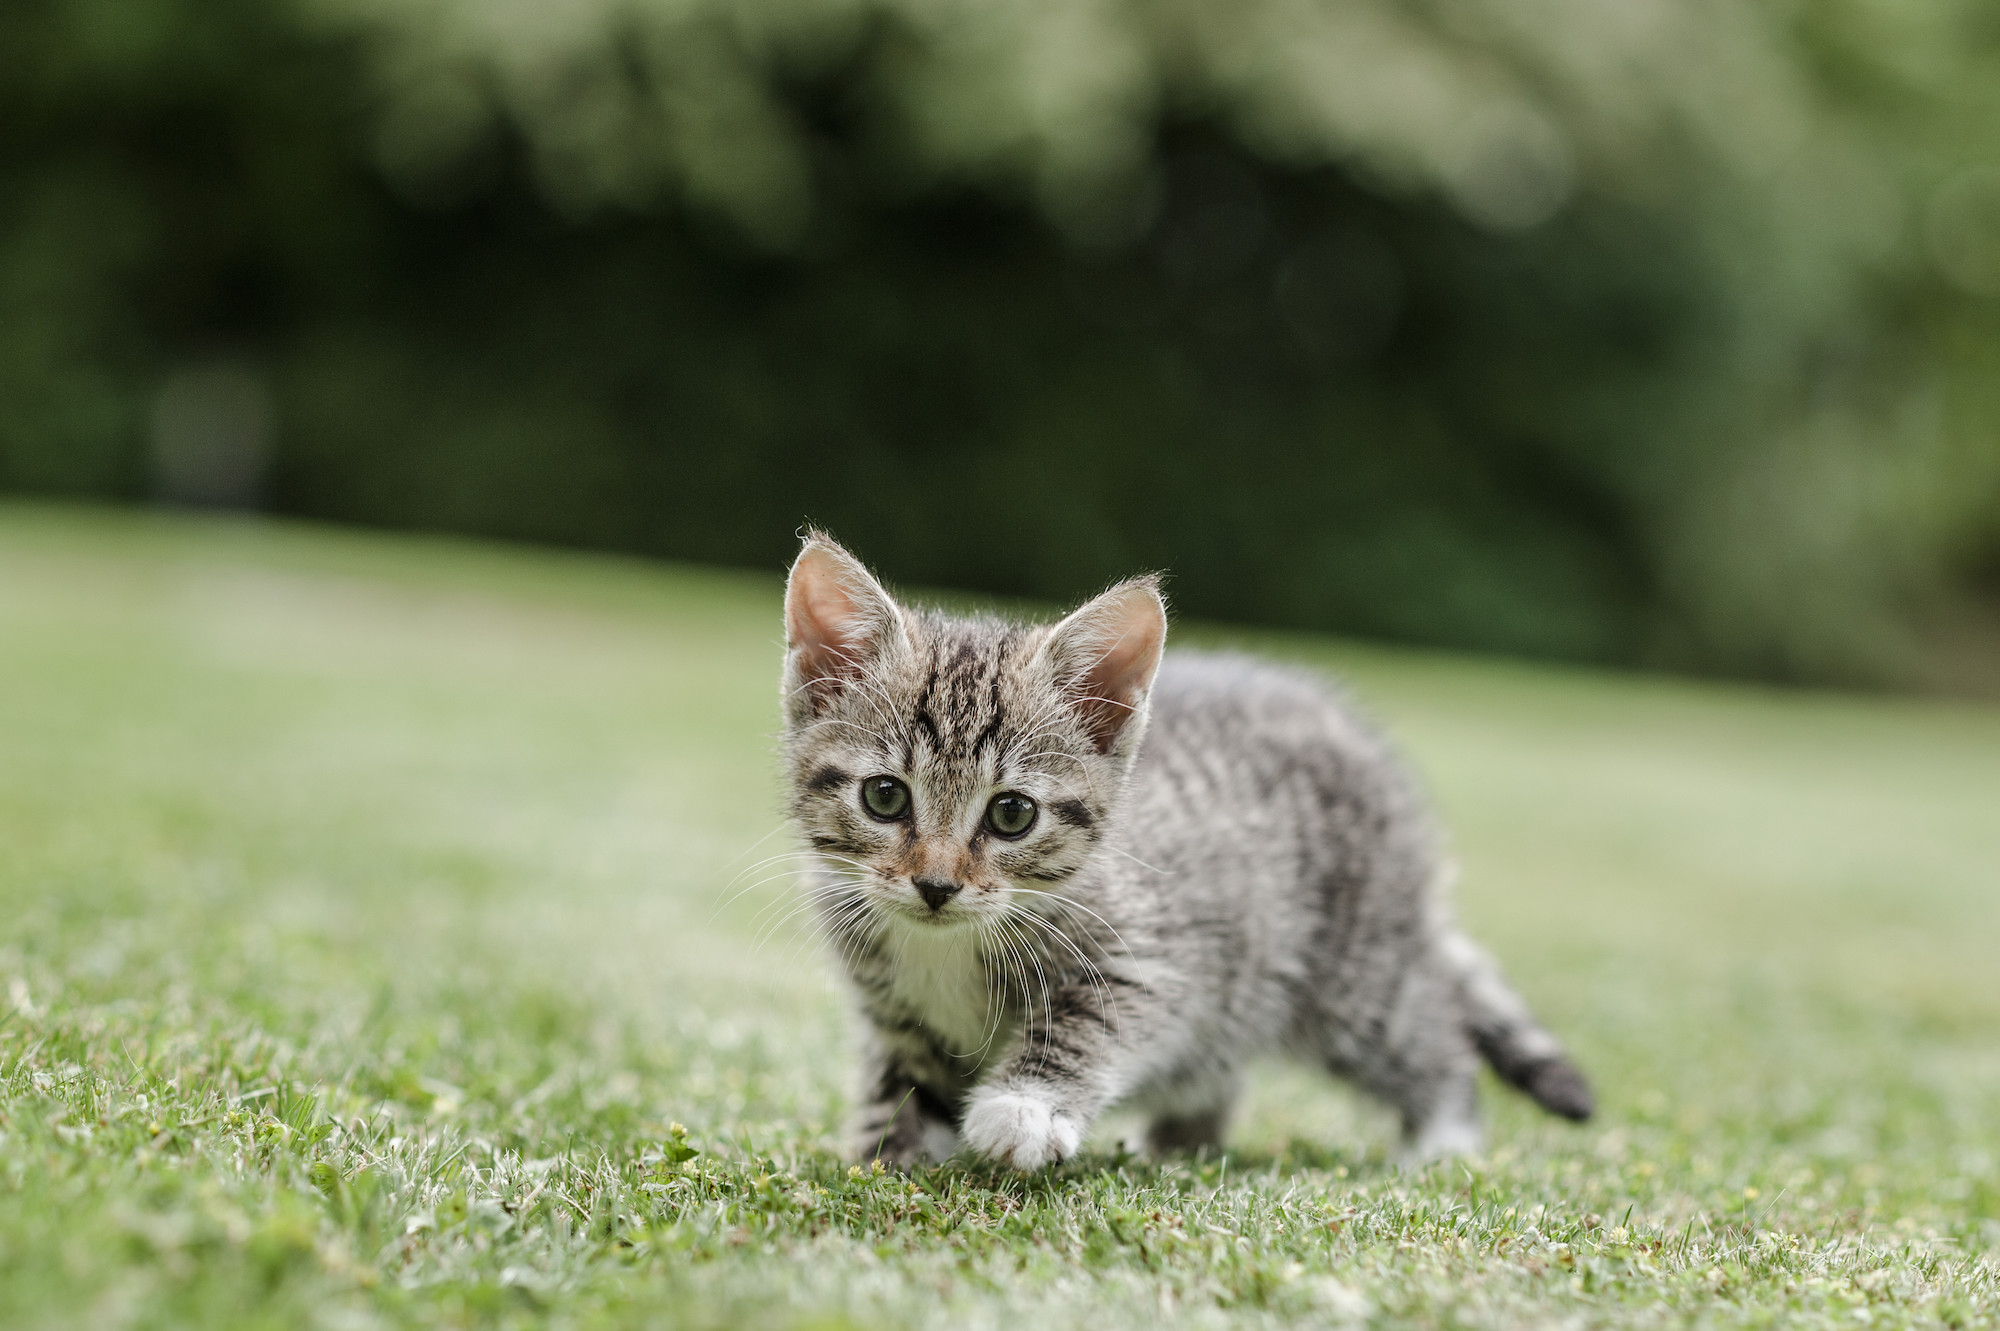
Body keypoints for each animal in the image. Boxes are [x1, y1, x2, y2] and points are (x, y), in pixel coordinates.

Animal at [780, 527, 1592, 1159]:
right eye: (885, 796)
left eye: (1012, 814)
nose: (936, 885)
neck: (946, 943)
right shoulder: (894, 1014)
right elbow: (900, 1084)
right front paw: (890, 1153)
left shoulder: (1152, 954)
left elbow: (1091, 1023)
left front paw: (1026, 1106)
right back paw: (1180, 1143)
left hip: (1353, 970)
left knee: (1426, 1032)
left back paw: (1443, 1140)